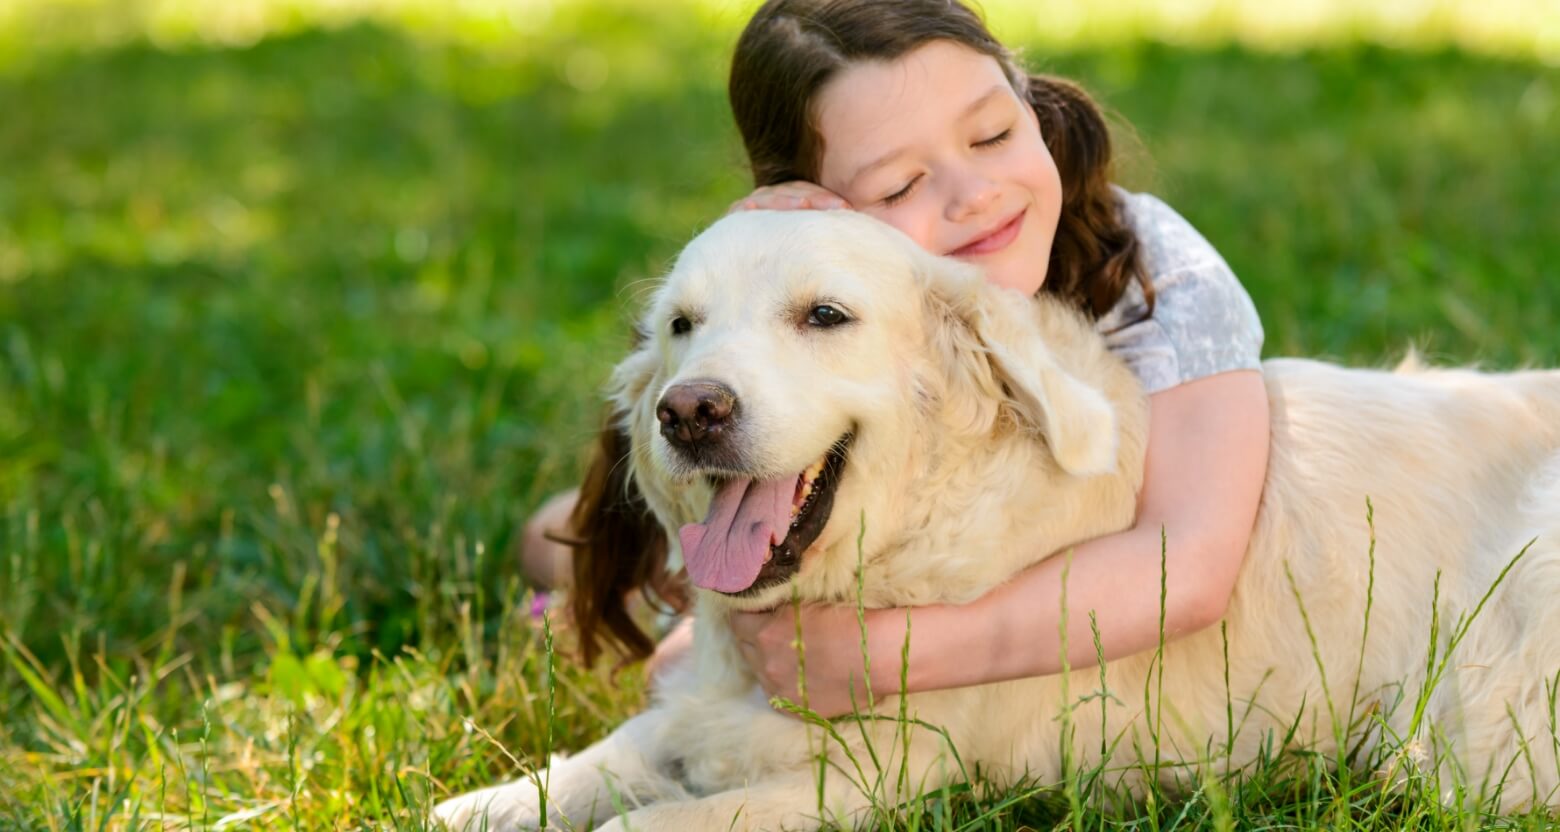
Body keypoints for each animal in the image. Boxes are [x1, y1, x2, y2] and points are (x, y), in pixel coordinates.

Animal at [433, 209, 1560, 830]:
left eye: (825, 316)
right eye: (681, 325)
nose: (688, 410)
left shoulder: (886, 776)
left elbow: (663, 820)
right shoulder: (710, 704)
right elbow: (614, 753)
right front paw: (482, 804)